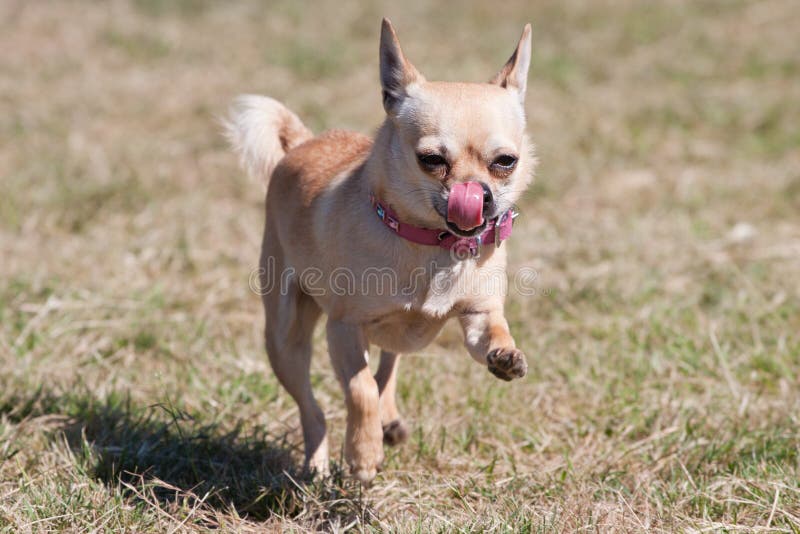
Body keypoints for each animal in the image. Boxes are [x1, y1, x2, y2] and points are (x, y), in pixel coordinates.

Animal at [225, 19, 536, 486]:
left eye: (505, 162)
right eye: (431, 160)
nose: (477, 195)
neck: (432, 245)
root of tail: (302, 143)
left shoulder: (478, 316)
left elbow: (492, 333)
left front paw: (505, 355)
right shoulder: (344, 329)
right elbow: (360, 388)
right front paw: (363, 452)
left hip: (391, 337)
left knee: (389, 364)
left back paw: (389, 421)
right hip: (285, 338)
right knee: (315, 407)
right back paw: (319, 463)